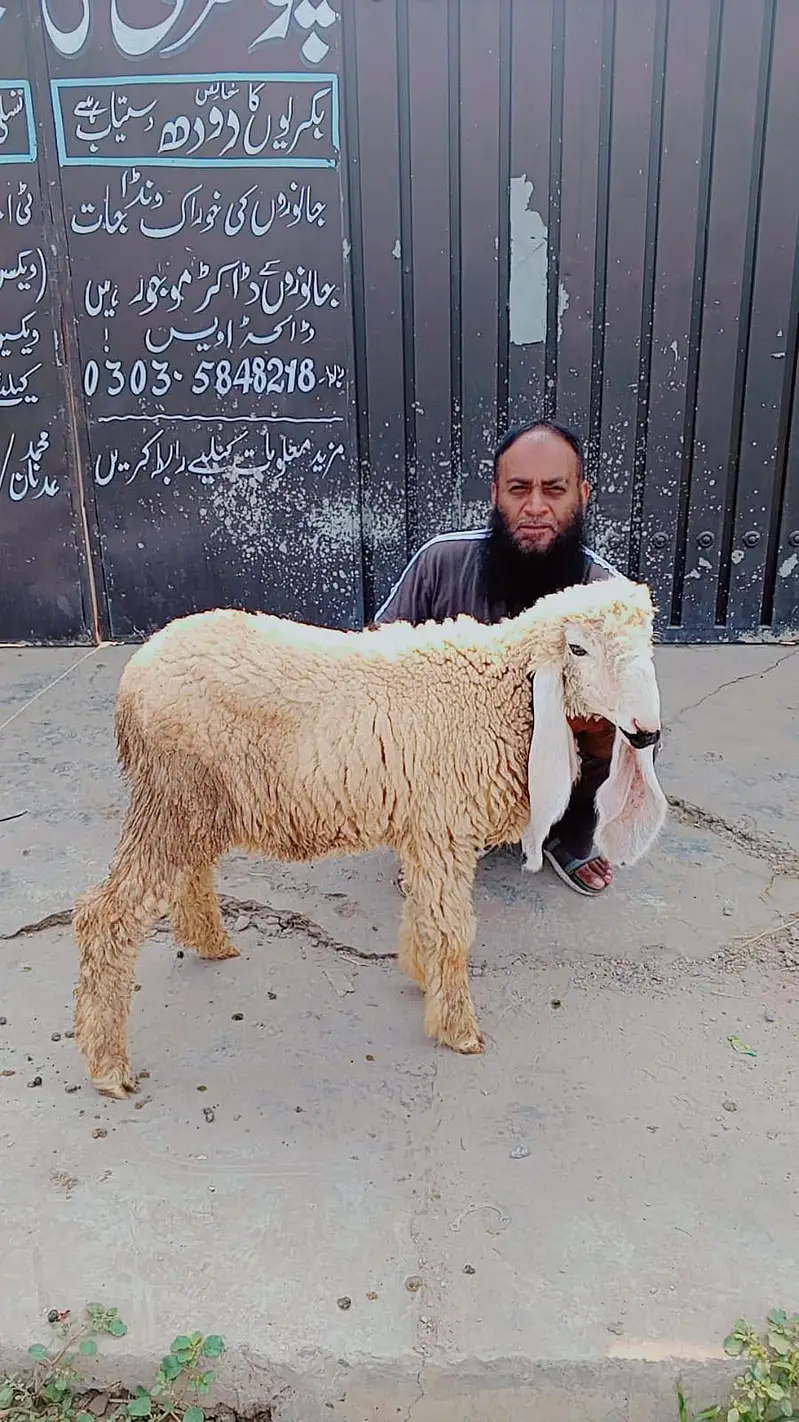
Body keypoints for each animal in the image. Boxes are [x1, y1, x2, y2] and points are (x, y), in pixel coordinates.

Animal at [73, 576, 667, 1098]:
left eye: (646, 644)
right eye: (578, 649)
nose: (646, 732)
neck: (494, 688)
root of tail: (138, 669)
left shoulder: (426, 826)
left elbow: (426, 912)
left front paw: (421, 974)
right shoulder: (444, 824)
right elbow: (451, 928)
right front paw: (458, 1028)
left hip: (196, 801)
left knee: (190, 871)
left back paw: (211, 942)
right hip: (172, 792)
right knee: (106, 915)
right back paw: (107, 1066)